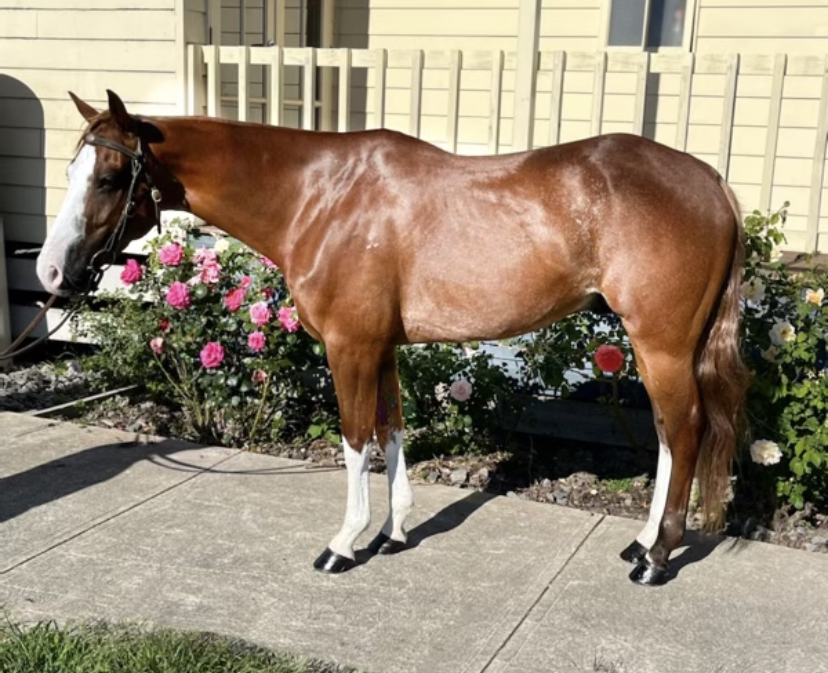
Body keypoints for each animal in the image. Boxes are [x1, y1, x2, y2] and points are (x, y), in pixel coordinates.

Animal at [36, 90, 749, 586]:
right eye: (71, 172)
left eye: (108, 178)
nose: (50, 273)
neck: (317, 197)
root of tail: (710, 181)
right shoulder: (380, 348)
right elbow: (392, 431)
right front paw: (393, 531)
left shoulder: (349, 347)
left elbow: (356, 441)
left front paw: (343, 544)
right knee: (667, 434)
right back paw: (642, 542)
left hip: (660, 345)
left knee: (684, 430)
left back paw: (656, 558)